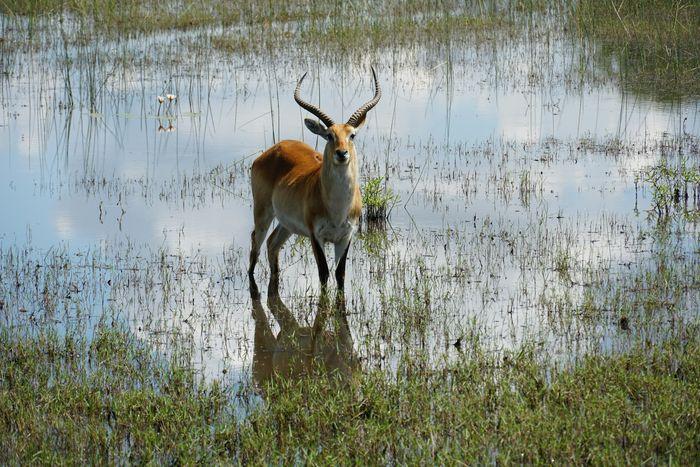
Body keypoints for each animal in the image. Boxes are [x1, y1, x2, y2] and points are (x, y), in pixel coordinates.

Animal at [247, 67, 380, 298]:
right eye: (329, 135)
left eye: (352, 135)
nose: (342, 153)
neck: (337, 209)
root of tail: (273, 149)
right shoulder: (315, 235)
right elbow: (324, 274)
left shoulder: (346, 236)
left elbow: (340, 275)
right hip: (263, 211)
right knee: (256, 240)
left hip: (286, 223)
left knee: (272, 244)